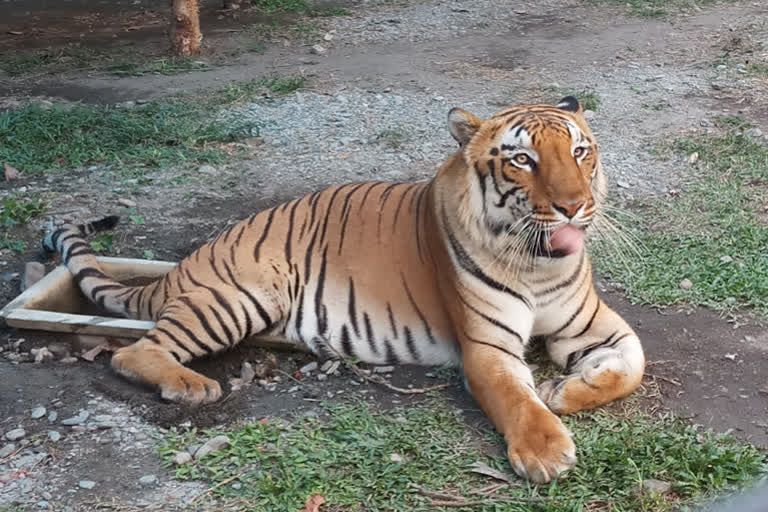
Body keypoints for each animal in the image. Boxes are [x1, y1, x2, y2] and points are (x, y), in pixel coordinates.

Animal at [42, 96, 640, 484]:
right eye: (522, 159)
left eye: (580, 152)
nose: (574, 206)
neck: (538, 266)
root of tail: (192, 258)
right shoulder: (486, 349)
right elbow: (516, 399)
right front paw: (546, 451)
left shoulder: (592, 324)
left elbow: (631, 366)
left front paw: (566, 390)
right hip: (239, 297)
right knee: (134, 351)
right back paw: (191, 386)